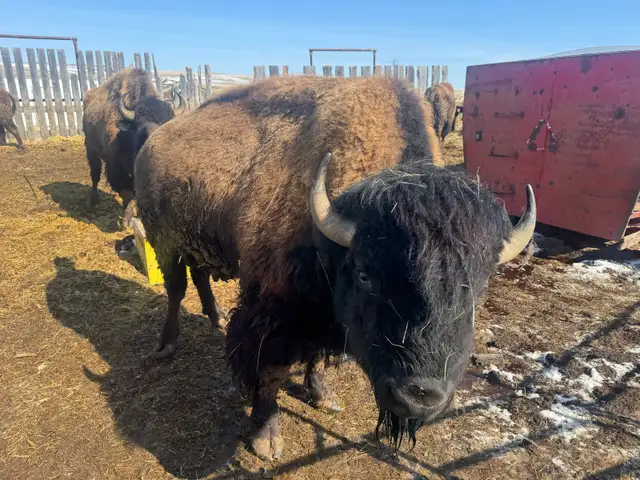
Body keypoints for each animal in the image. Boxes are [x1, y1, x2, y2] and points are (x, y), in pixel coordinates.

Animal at [82, 68, 183, 225]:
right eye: (141, 127)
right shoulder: (117, 168)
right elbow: (127, 193)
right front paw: (126, 220)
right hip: (91, 150)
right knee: (95, 175)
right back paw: (93, 202)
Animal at [134, 75, 536, 460]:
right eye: (365, 274)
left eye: (478, 289)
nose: (420, 396)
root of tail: (154, 141)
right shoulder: (275, 310)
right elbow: (270, 370)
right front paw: (266, 438)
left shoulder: (324, 316)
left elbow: (318, 357)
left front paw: (324, 398)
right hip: (163, 241)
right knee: (176, 289)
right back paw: (166, 346)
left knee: (198, 276)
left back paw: (215, 316)